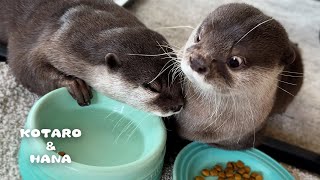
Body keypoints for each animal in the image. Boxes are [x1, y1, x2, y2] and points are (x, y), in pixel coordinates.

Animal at [0, 0, 184, 116]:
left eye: (179, 77)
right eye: (152, 87)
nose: (178, 105)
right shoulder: (42, 37)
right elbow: (24, 68)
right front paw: (74, 84)